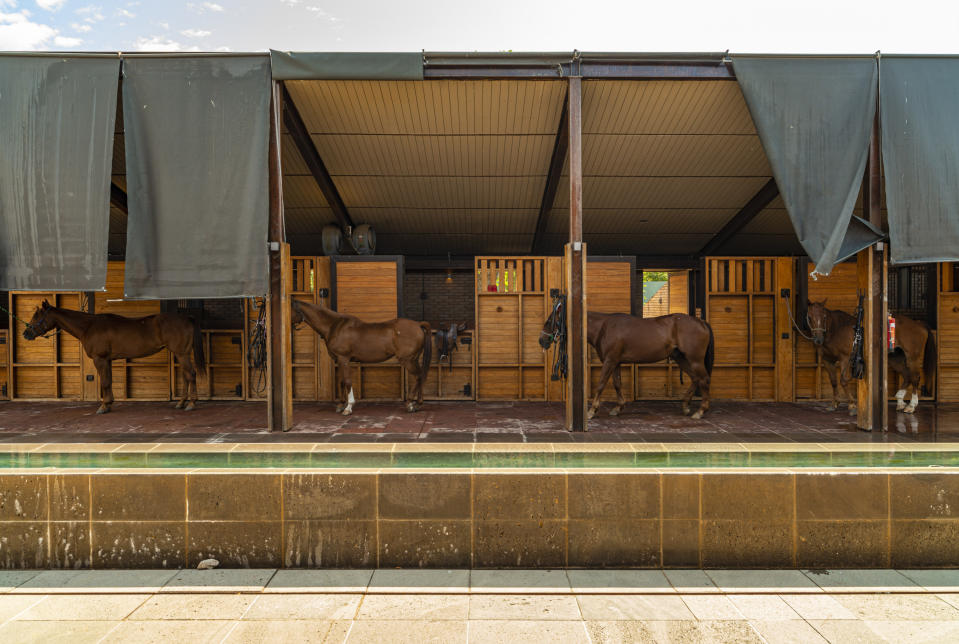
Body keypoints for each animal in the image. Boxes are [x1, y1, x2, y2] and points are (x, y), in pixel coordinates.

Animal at [23, 300, 204, 412]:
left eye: (37, 316)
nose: (26, 333)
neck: (89, 326)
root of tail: (187, 318)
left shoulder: (100, 359)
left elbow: (104, 382)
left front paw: (103, 406)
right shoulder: (107, 360)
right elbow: (108, 381)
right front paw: (109, 404)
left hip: (182, 354)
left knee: (190, 374)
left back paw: (191, 403)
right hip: (181, 354)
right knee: (185, 376)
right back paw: (181, 403)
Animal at [288, 300, 432, 416]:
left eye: (289, 310)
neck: (334, 326)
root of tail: (418, 325)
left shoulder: (344, 358)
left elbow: (347, 381)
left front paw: (348, 407)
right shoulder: (339, 360)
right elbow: (341, 381)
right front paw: (341, 404)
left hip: (407, 360)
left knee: (418, 376)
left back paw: (410, 403)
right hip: (413, 359)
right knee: (421, 376)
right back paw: (418, 403)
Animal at [540, 310, 712, 420]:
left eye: (549, 321)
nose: (541, 340)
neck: (604, 328)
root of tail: (701, 322)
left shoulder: (609, 361)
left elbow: (601, 384)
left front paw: (592, 411)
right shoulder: (615, 362)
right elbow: (617, 384)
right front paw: (618, 408)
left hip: (695, 359)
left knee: (703, 380)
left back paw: (700, 411)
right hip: (681, 358)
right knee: (695, 378)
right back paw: (686, 406)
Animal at [804, 300, 936, 412]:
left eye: (824, 317)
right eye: (810, 317)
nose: (818, 339)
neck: (836, 329)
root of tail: (920, 325)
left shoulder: (845, 359)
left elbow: (843, 381)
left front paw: (852, 404)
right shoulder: (827, 360)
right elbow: (834, 382)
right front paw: (834, 404)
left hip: (912, 358)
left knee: (915, 378)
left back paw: (911, 406)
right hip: (895, 359)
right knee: (907, 376)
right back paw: (900, 402)